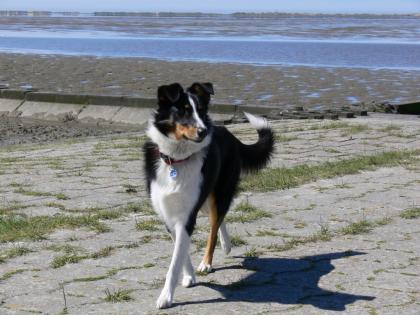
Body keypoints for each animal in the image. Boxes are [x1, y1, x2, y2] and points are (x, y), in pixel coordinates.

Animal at [144, 82, 276, 310]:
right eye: (183, 111)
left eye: (200, 110)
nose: (203, 131)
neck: (177, 161)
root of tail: (231, 135)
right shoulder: (168, 215)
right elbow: (181, 251)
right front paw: (188, 276)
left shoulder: (187, 216)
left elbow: (175, 261)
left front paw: (166, 297)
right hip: (206, 198)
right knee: (219, 219)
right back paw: (226, 244)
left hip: (218, 193)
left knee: (215, 225)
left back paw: (208, 261)